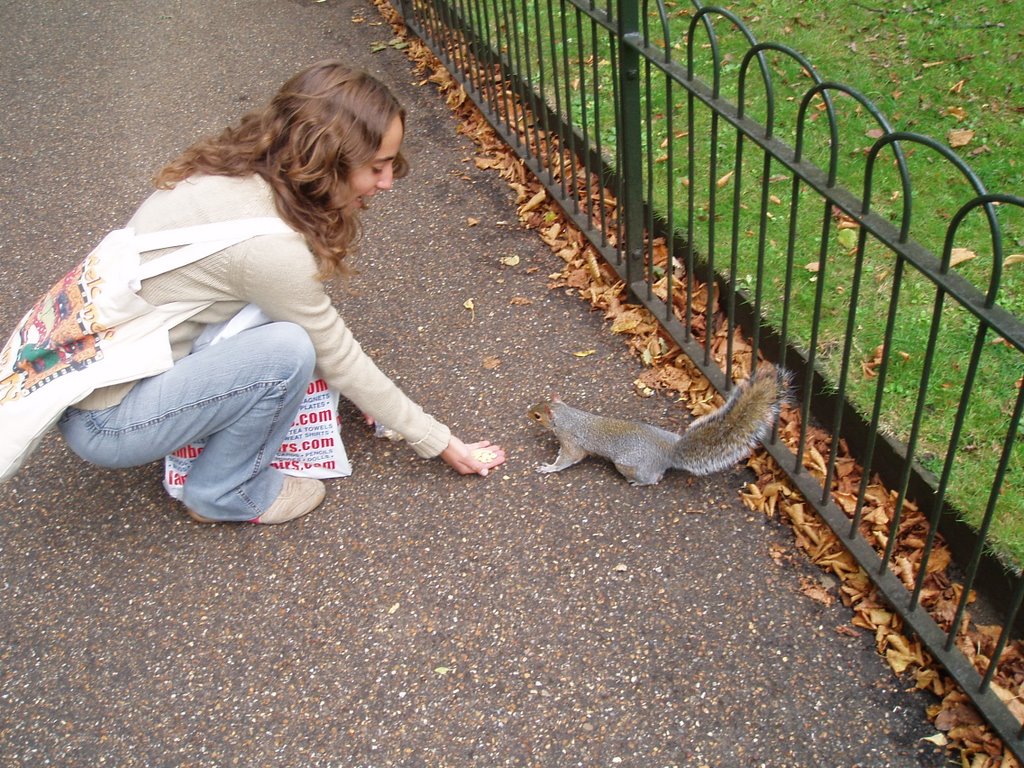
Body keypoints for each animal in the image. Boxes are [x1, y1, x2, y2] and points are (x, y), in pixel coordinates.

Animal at [528, 366, 790, 487]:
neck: (566, 416)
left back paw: (640, 482)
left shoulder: (571, 441)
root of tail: (669, 452)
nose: (527, 413)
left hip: (629, 465)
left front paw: (549, 468)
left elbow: (569, 458)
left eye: (538, 415)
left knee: (654, 478)